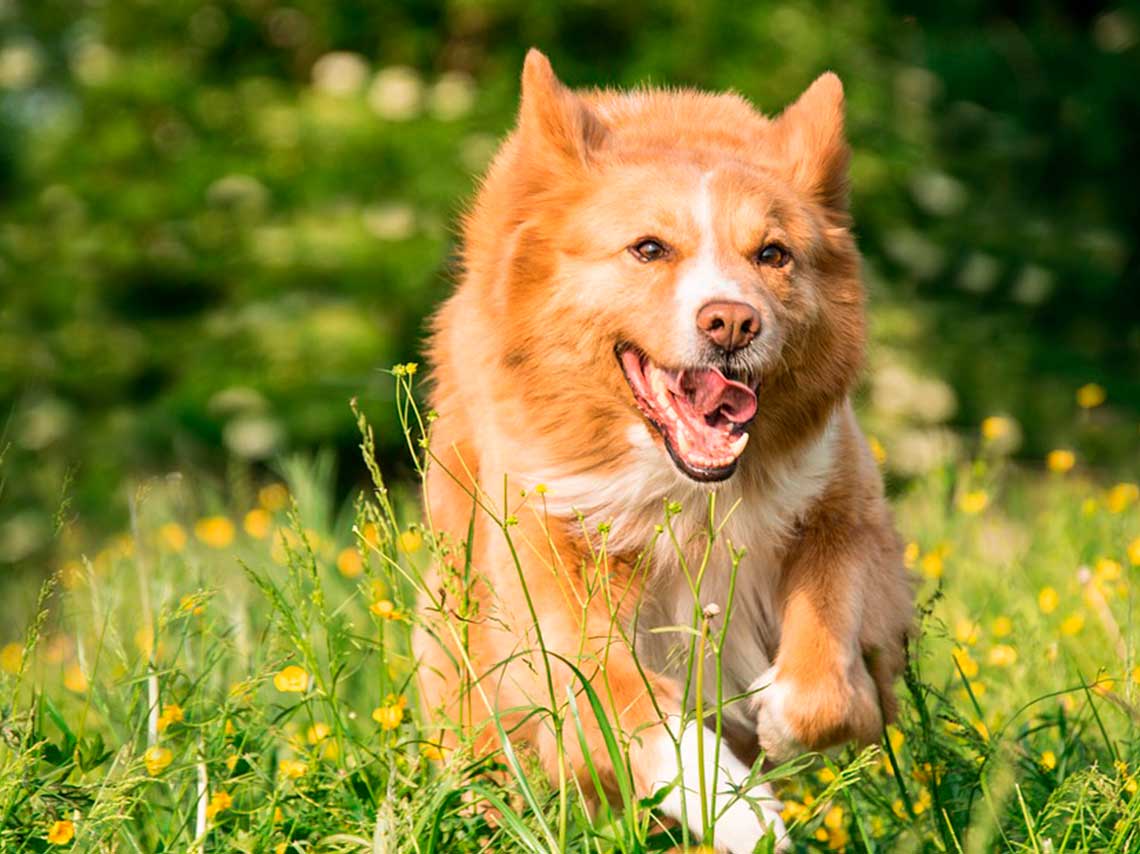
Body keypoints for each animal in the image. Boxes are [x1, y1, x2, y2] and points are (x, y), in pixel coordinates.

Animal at [414, 49, 912, 848]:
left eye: (773, 255)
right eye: (648, 249)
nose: (732, 322)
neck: (689, 492)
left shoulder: (845, 508)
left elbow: (828, 690)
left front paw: (775, 717)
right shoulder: (549, 578)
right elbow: (638, 717)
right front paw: (738, 812)